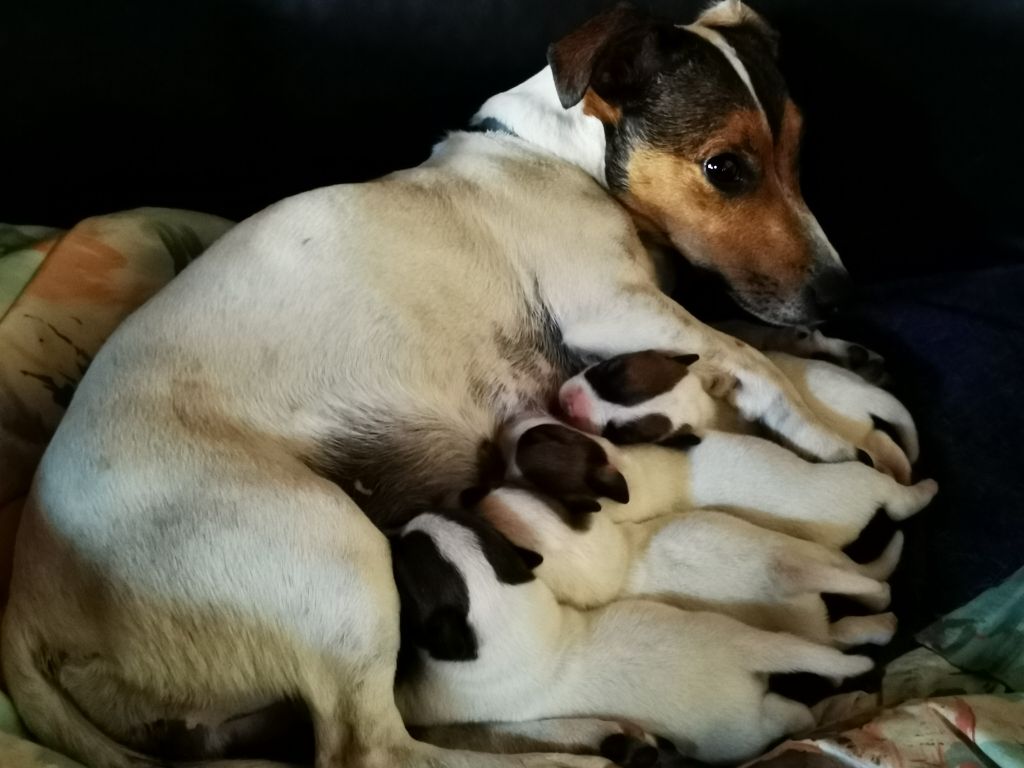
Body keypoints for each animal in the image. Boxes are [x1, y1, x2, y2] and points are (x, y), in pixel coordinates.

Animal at [391, 507, 872, 765]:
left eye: (405, 564)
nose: (401, 522)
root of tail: (742, 655)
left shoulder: (437, 699)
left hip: (738, 732)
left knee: (790, 716)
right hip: (740, 633)